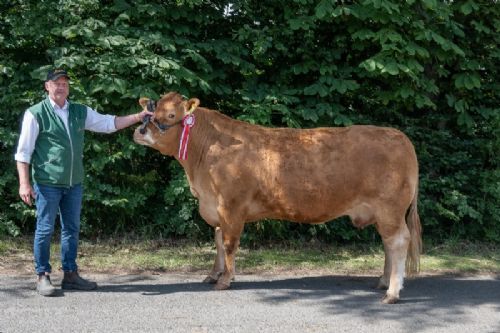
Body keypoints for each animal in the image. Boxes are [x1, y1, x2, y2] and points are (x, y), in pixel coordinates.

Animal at [134, 91, 422, 304]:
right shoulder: (216, 208)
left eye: (171, 115)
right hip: (383, 213)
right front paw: (213, 275)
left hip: (389, 209)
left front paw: (225, 280)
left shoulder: (231, 206)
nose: (140, 131)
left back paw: (392, 292)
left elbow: (228, 244)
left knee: (398, 241)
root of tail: (399, 136)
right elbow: (217, 242)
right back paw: (383, 281)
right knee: (388, 243)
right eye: (152, 111)